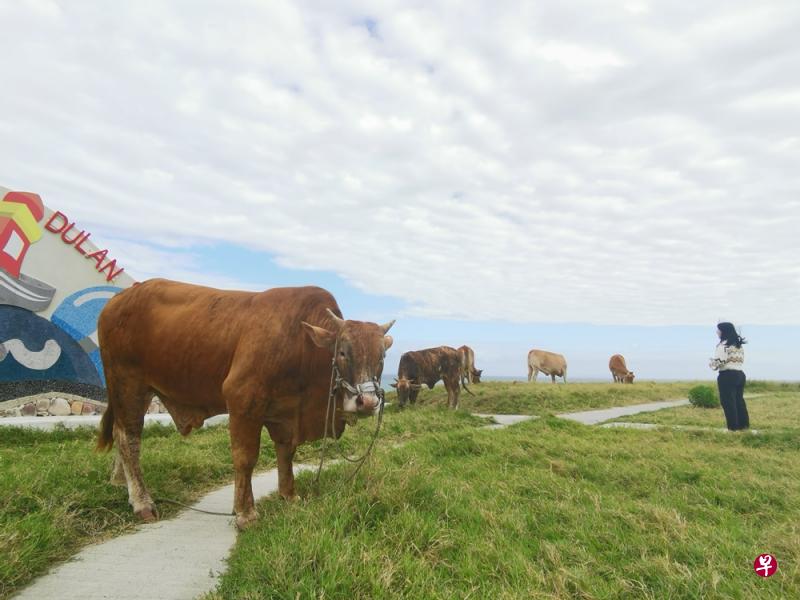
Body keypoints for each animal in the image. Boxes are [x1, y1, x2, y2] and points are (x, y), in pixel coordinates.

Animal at [95, 278, 396, 528]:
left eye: (381, 356)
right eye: (343, 352)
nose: (367, 401)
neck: (301, 345)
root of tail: (120, 298)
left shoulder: (285, 413)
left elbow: (286, 454)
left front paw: (289, 495)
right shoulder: (242, 401)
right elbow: (245, 457)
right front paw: (245, 513)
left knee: (121, 435)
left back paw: (120, 482)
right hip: (127, 384)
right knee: (129, 438)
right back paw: (142, 502)